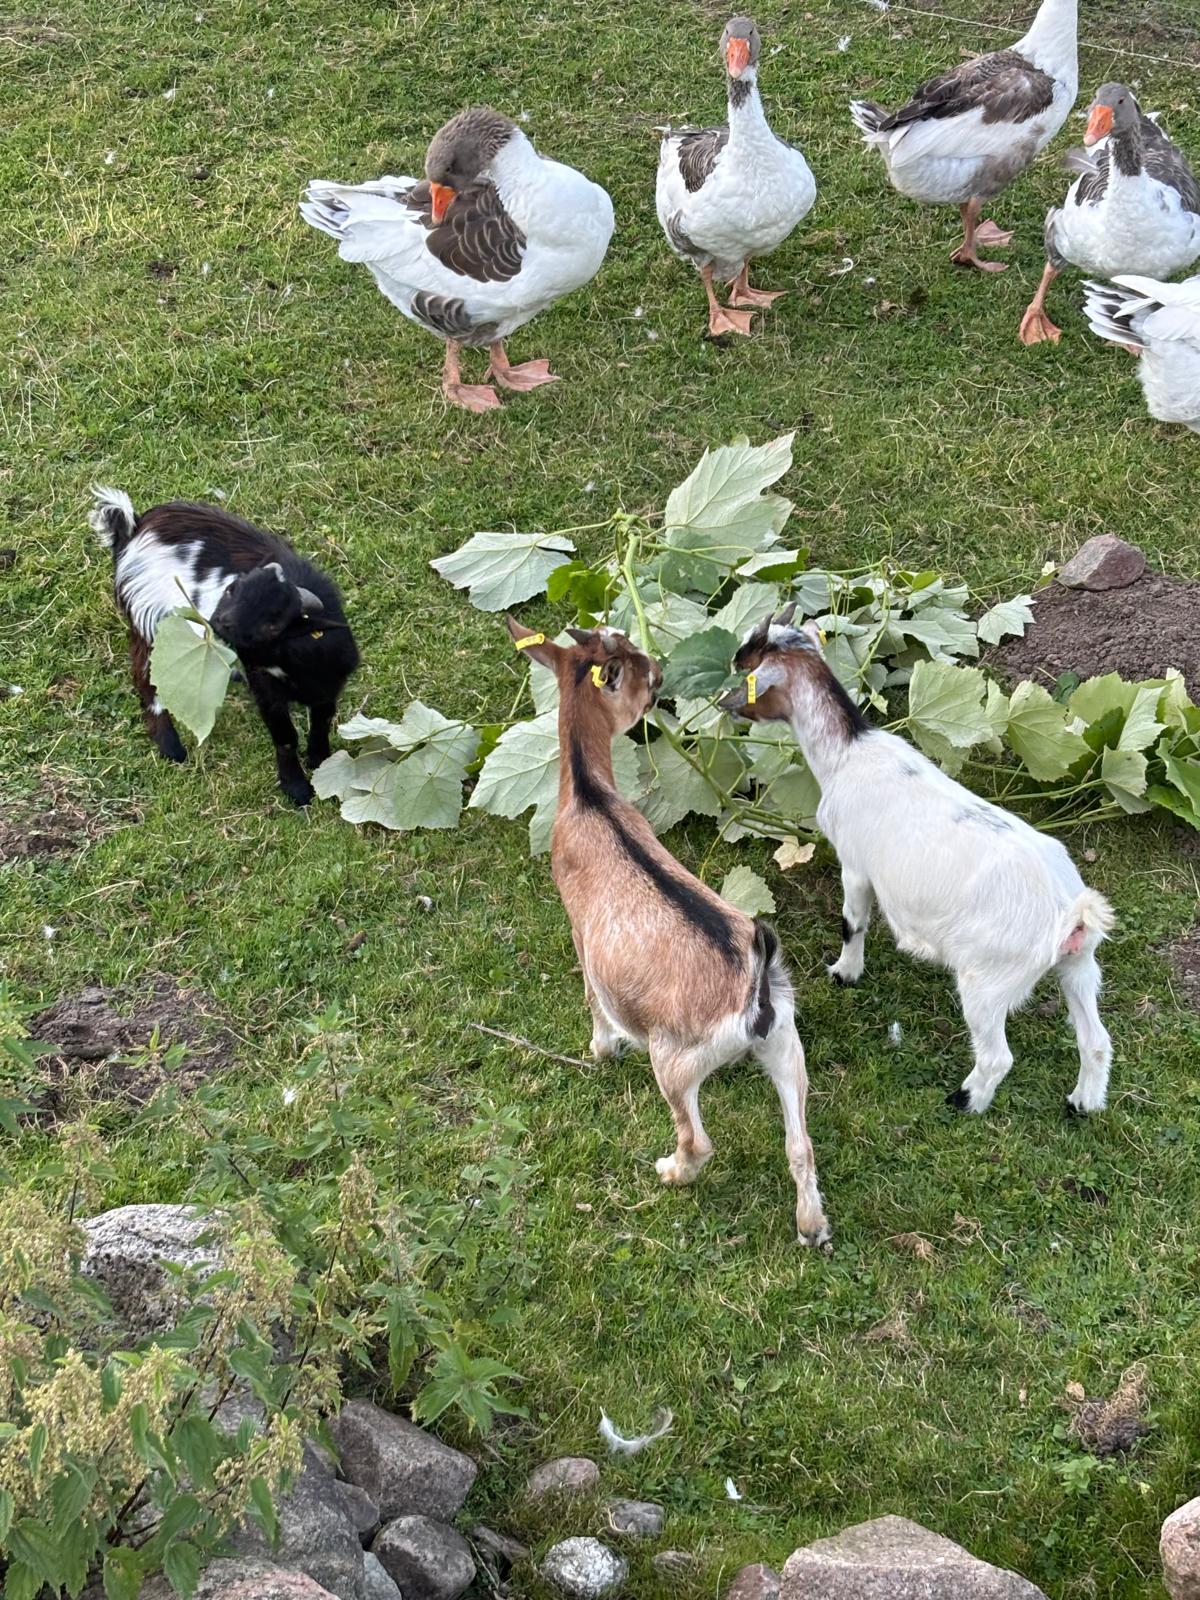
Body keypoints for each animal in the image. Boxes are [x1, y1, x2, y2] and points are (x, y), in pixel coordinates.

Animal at [89, 487, 359, 805]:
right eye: (231, 590)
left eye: (275, 620)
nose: (218, 622)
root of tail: (134, 527)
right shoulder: (266, 690)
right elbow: (285, 738)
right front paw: (297, 789)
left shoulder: (329, 686)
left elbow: (321, 721)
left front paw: (320, 762)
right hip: (151, 615)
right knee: (145, 675)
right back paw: (171, 746)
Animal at [505, 615, 830, 1245]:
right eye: (642, 671)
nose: (661, 676)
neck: (590, 798)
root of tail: (753, 993)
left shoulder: (580, 930)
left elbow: (592, 997)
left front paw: (601, 1049)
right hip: (787, 1043)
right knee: (800, 1142)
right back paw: (812, 1228)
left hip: (674, 1061)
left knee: (697, 1138)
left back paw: (670, 1171)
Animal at [721, 605, 1115, 1116]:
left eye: (749, 667)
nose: (725, 703)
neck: (847, 753)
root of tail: (1070, 913)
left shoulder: (855, 863)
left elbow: (852, 923)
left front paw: (844, 973)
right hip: (1079, 967)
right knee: (1096, 1039)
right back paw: (1083, 1103)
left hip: (988, 981)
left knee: (997, 1056)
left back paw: (966, 1100)